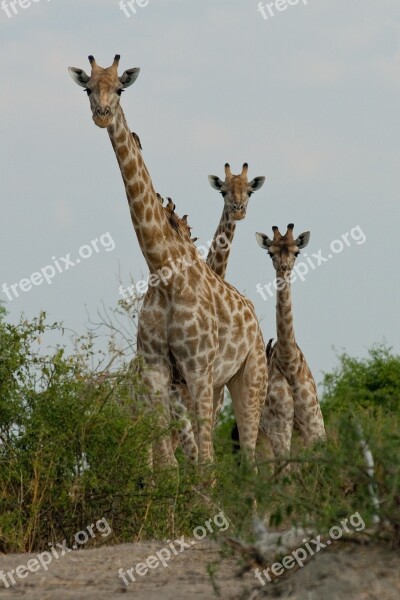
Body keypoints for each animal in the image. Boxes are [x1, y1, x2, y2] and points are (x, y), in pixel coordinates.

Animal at [255, 225, 326, 460]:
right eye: (270, 253)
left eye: (297, 252)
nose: (284, 268)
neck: (289, 361)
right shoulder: (278, 427)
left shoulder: (314, 423)